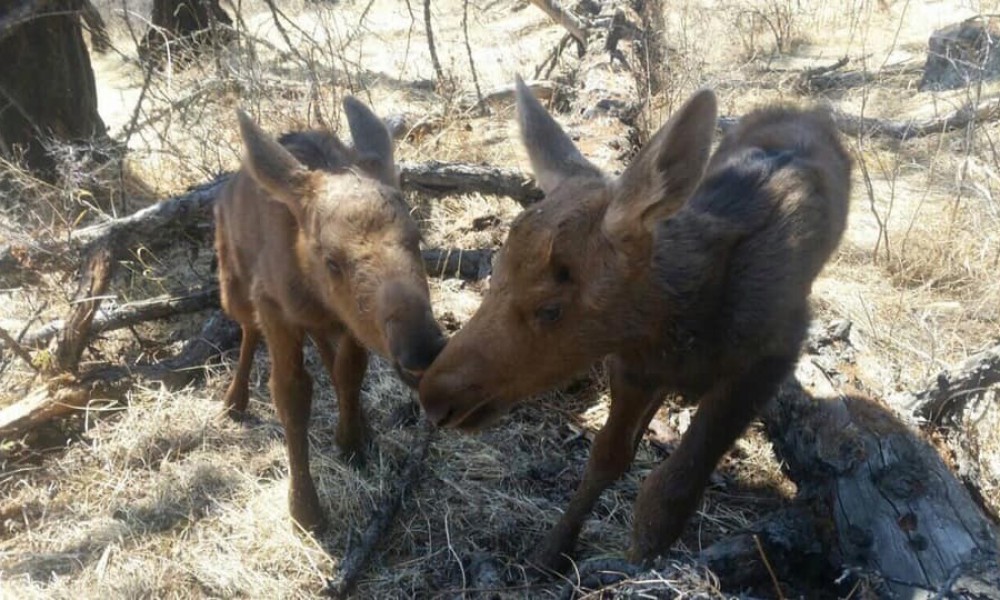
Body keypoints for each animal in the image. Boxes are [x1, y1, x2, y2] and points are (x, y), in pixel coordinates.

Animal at [216, 97, 446, 528]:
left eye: (417, 237)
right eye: (332, 260)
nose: (421, 348)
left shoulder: (348, 320)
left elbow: (349, 371)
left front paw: (352, 440)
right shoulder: (274, 307)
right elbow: (291, 393)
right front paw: (305, 509)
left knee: (325, 353)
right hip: (233, 286)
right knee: (247, 329)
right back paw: (234, 400)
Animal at [418, 79, 848, 568]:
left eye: (551, 309)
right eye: (493, 272)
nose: (434, 396)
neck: (686, 324)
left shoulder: (769, 359)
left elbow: (668, 495)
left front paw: (638, 567)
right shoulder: (631, 365)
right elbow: (608, 455)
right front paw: (551, 551)